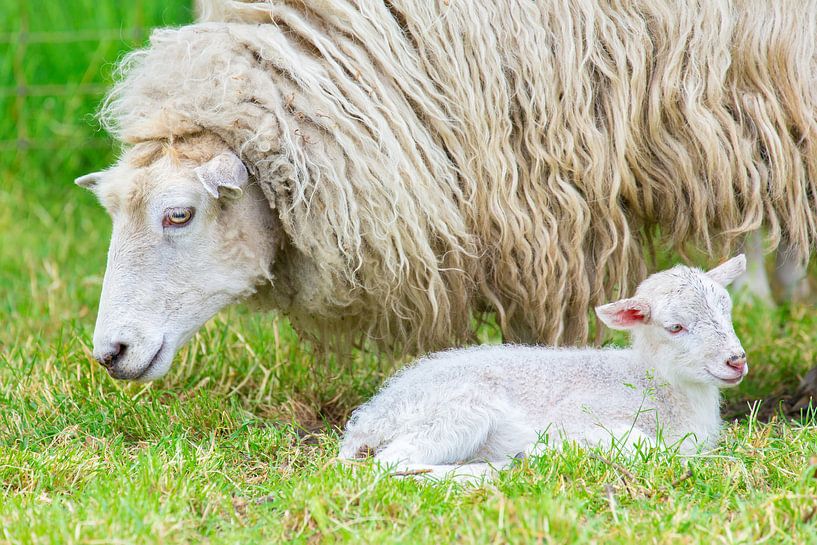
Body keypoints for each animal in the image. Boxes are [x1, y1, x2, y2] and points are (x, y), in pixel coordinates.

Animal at [339, 255, 748, 480]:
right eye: (675, 327)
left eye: (726, 310)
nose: (736, 360)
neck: (653, 382)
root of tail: (367, 420)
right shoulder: (582, 414)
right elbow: (643, 446)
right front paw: (552, 449)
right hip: (458, 412)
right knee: (391, 463)